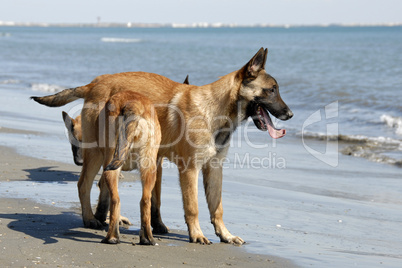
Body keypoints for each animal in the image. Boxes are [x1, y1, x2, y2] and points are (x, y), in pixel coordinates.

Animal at [32, 47, 292, 244]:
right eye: (272, 90)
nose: (289, 114)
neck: (215, 109)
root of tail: (95, 83)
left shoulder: (213, 168)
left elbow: (216, 207)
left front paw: (225, 235)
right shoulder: (189, 170)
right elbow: (193, 206)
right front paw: (196, 235)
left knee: (106, 187)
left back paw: (108, 223)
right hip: (97, 154)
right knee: (84, 184)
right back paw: (90, 219)